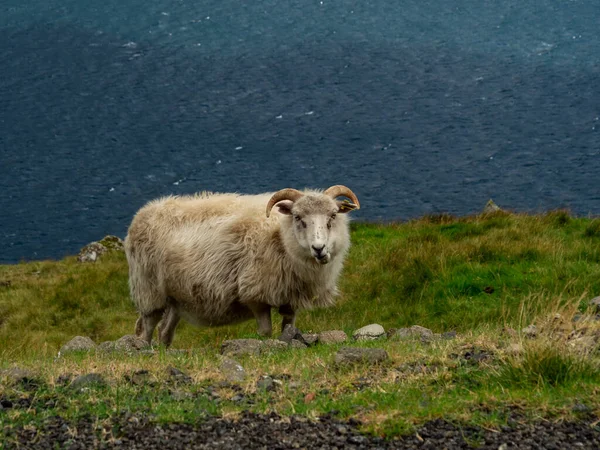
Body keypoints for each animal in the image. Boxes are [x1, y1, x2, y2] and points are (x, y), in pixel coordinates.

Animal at [124, 185, 358, 346]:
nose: (319, 248)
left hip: (176, 297)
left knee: (164, 330)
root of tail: (143, 212)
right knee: (146, 327)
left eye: (333, 215)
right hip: (148, 289)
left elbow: (288, 327)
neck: (281, 235)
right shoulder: (255, 293)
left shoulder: (290, 296)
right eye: (298, 217)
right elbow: (265, 331)